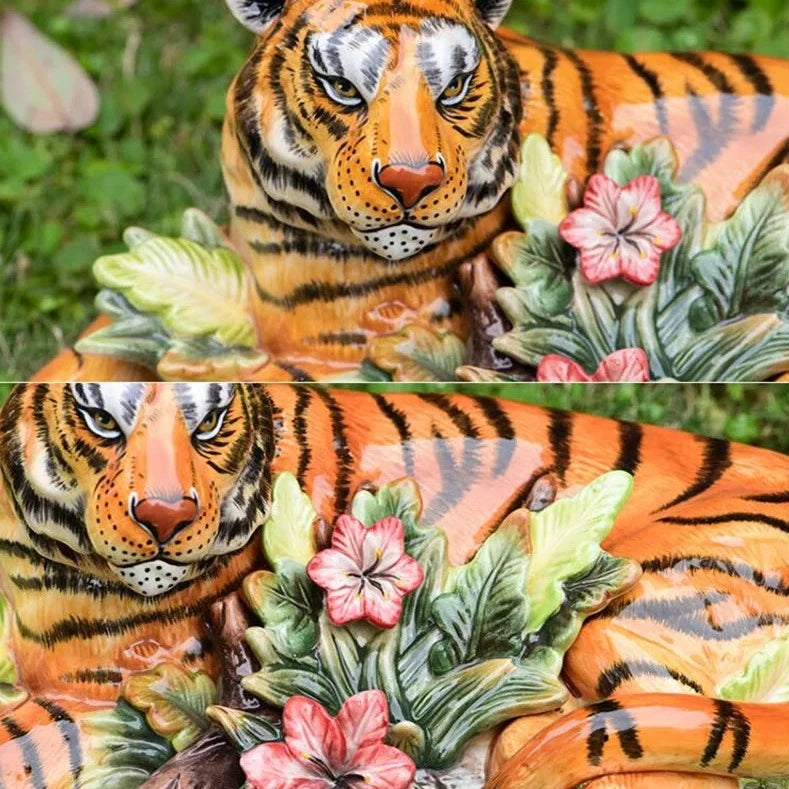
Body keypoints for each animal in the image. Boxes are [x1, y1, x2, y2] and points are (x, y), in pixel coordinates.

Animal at [0, 382, 788, 787]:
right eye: (101, 421)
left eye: (212, 424)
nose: (166, 516)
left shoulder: (105, 690)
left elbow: (27, 745)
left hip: (634, 614)